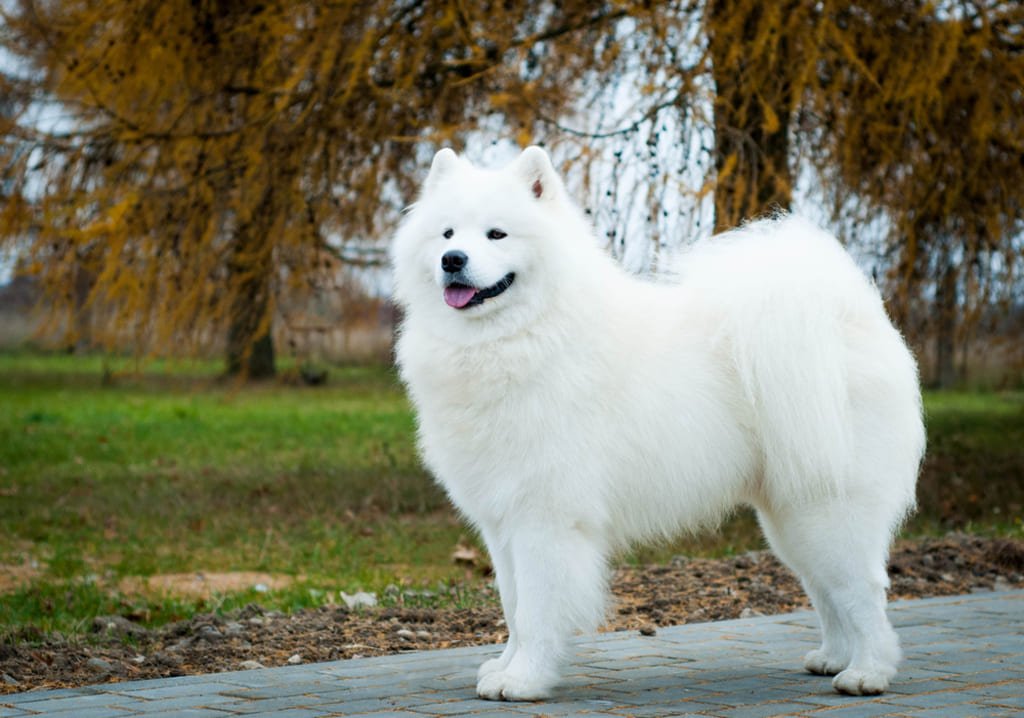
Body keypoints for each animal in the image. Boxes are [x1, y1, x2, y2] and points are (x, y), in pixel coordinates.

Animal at [387, 145, 925, 700]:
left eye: (496, 234)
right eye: (447, 234)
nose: (453, 260)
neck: (522, 335)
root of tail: (852, 317)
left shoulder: (545, 519)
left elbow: (536, 612)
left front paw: (525, 679)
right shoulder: (502, 522)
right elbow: (513, 609)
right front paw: (504, 667)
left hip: (828, 507)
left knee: (863, 590)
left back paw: (867, 672)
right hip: (790, 512)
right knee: (825, 588)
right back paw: (832, 658)